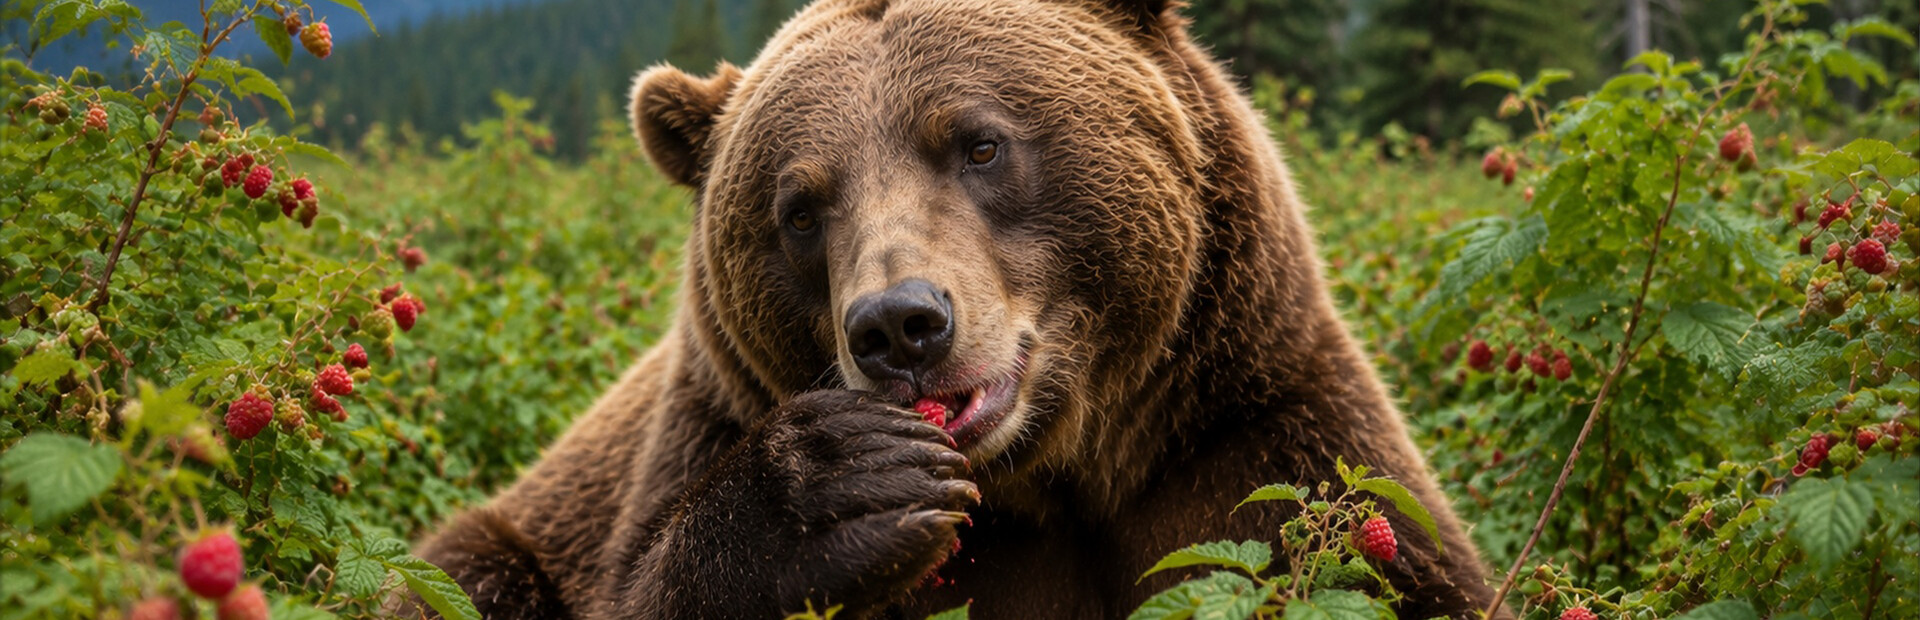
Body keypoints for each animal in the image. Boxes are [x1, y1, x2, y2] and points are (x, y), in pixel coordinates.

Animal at [410, 0, 1505, 618]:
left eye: (979, 143)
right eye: (799, 208)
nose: (901, 324)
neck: (1053, 478)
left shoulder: (1255, 435)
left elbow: (1394, 570)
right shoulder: (688, 444)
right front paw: (844, 485)